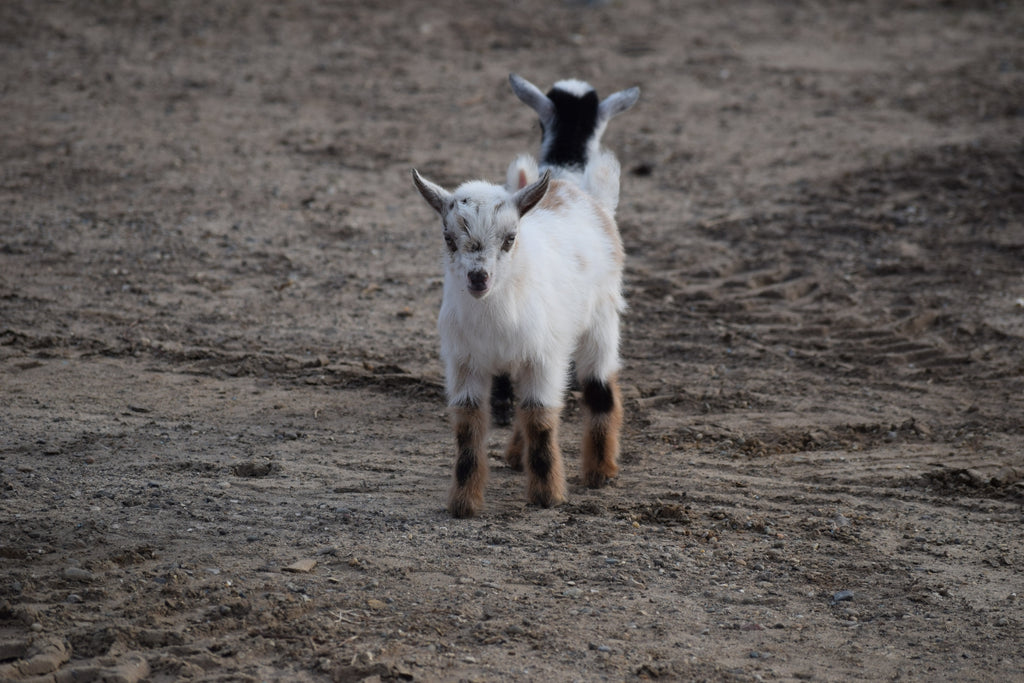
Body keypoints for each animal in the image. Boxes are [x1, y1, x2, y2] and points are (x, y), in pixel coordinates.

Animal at [412, 153, 626, 518]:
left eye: (510, 238)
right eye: (449, 239)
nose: (478, 278)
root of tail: (587, 195)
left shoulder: (544, 358)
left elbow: (540, 418)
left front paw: (546, 496)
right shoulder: (465, 362)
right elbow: (468, 426)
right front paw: (463, 503)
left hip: (601, 320)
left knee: (599, 387)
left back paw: (600, 472)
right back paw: (516, 455)